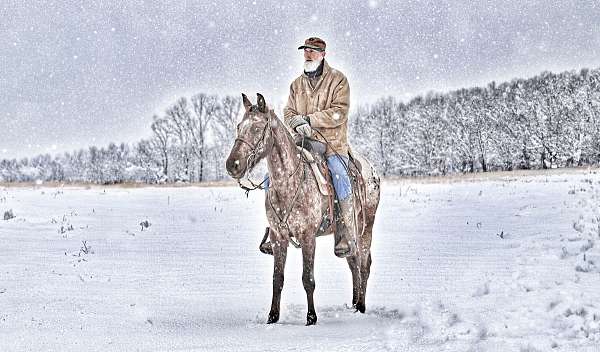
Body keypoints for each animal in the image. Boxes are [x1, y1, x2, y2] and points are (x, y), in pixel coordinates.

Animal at [225, 93, 380, 324]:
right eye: (238, 127)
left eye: (257, 128)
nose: (232, 165)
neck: (289, 183)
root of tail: (372, 170)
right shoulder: (278, 237)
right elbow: (277, 278)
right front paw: (272, 317)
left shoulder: (307, 237)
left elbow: (308, 279)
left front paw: (311, 317)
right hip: (346, 234)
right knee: (353, 262)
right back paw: (353, 305)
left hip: (366, 228)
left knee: (363, 263)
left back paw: (361, 306)